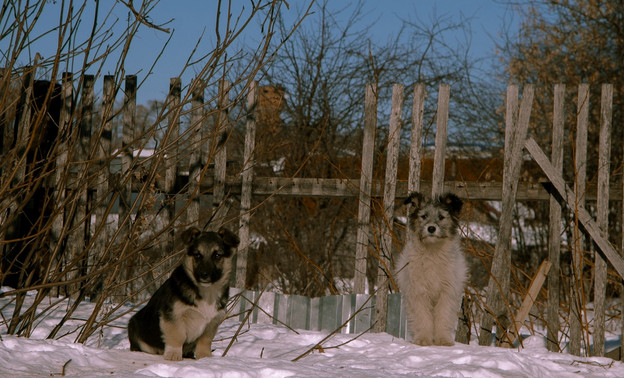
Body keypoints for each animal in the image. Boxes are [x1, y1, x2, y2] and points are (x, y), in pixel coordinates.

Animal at [128, 227, 240, 360]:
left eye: (217, 255)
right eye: (197, 255)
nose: (204, 275)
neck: (207, 291)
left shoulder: (212, 322)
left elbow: (205, 341)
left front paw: (205, 356)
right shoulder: (173, 315)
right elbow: (177, 335)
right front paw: (173, 354)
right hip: (135, 326)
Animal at [398, 192, 466, 346]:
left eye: (441, 217)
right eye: (423, 216)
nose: (431, 228)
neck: (432, 252)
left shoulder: (447, 292)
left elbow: (443, 316)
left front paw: (443, 340)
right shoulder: (418, 292)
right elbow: (422, 317)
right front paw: (423, 339)